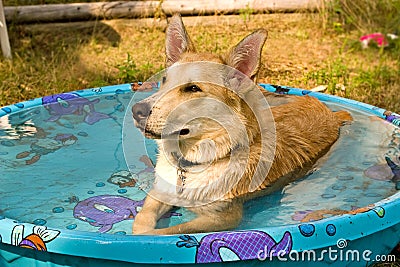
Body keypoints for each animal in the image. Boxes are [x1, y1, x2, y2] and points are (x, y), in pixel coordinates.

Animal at [130, 14, 350, 236]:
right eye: (164, 80)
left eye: (193, 88)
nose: (137, 110)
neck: (191, 163)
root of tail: (329, 111)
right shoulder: (160, 193)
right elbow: (142, 218)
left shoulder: (224, 217)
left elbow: (167, 232)